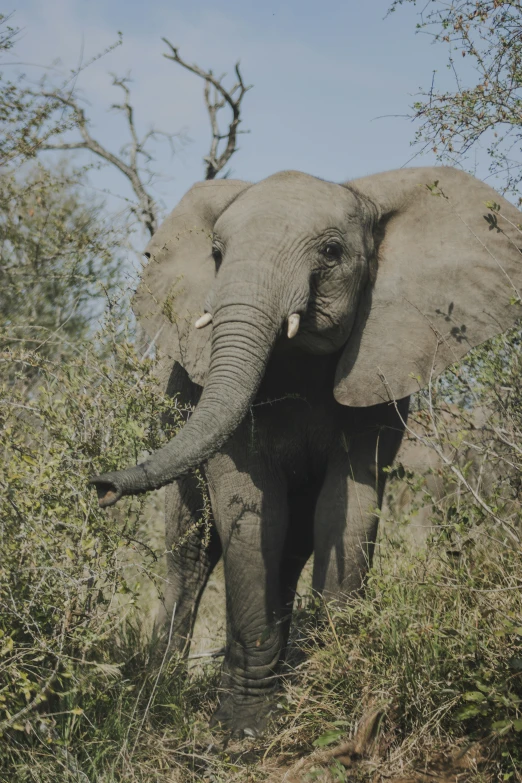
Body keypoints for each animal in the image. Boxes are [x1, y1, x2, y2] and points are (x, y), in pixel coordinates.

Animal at [89, 165, 520, 736]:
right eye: (217, 254)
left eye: (332, 252)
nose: (101, 486)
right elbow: (249, 509)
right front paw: (245, 728)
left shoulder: (378, 374)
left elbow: (347, 506)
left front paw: (329, 693)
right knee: (191, 549)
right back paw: (159, 692)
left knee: (290, 550)